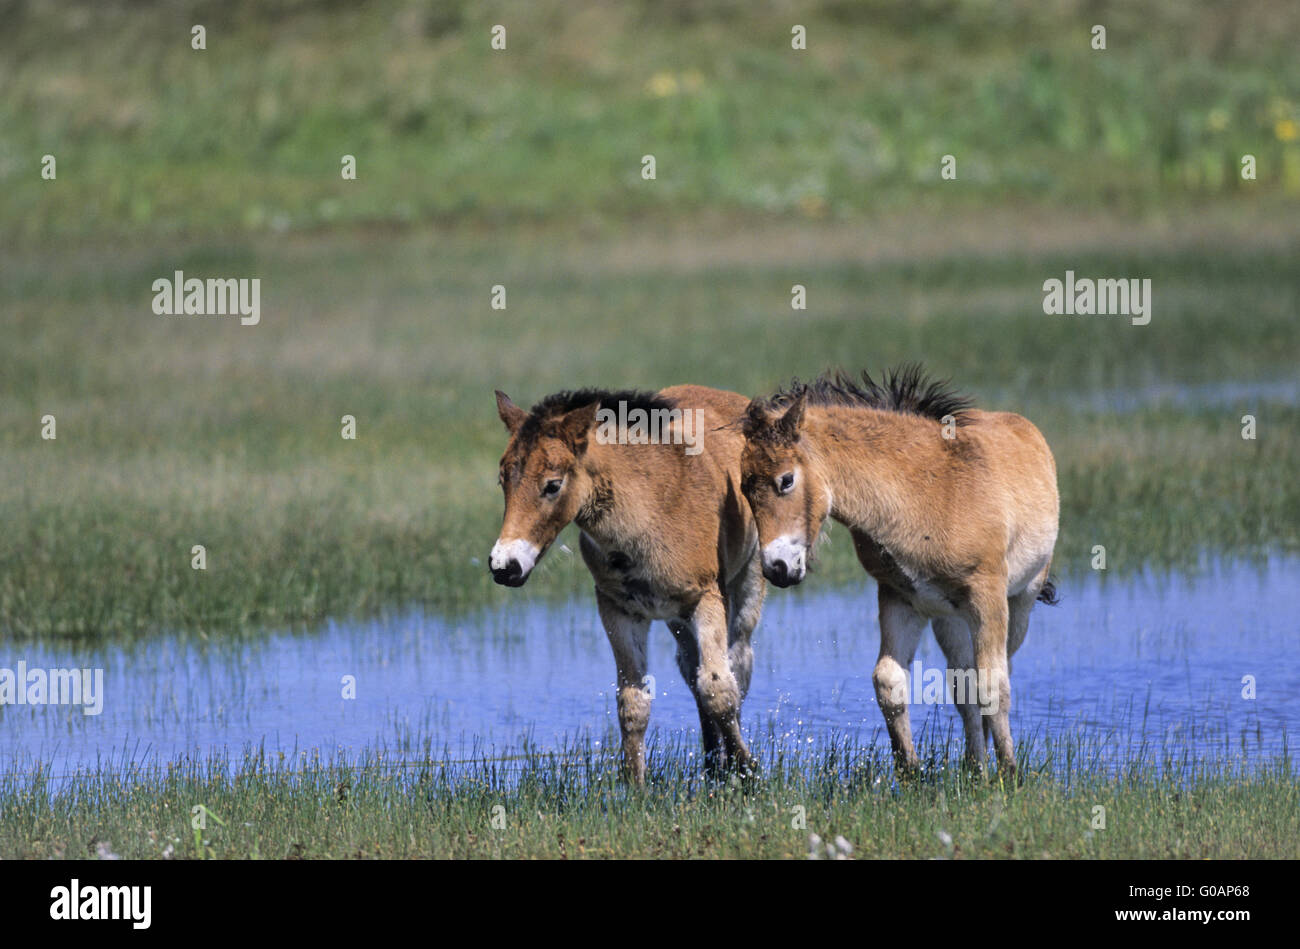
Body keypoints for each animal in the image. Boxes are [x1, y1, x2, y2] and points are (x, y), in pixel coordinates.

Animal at [491, 379, 764, 780]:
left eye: (552, 485)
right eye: (503, 480)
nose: (504, 566)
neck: (652, 509)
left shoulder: (706, 597)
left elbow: (719, 688)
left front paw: (747, 771)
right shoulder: (618, 609)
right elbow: (632, 701)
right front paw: (635, 785)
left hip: (746, 585)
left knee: (738, 663)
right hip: (676, 617)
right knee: (691, 668)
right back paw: (713, 763)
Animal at [743, 366, 1055, 774]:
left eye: (786, 480)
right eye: (745, 487)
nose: (777, 568)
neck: (928, 492)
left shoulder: (988, 596)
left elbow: (993, 683)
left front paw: (1009, 774)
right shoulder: (900, 597)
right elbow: (890, 681)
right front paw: (910, 772)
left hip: (1020, 602)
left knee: (996, 670)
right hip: (950, 620)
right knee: (962, 680)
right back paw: (974, 765)